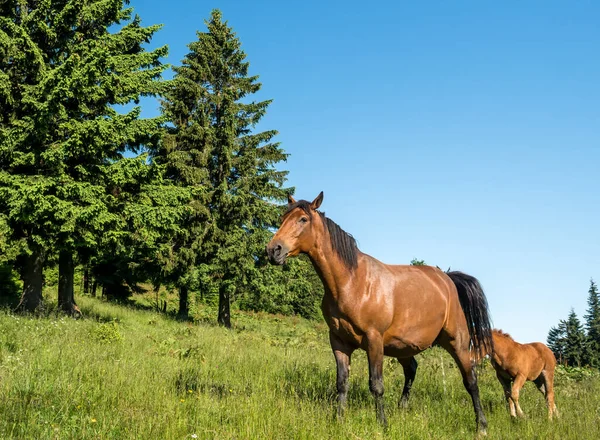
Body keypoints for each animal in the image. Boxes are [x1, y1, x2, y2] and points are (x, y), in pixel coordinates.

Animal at [268, 192, 492, 434]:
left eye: (303, 219)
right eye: (283, 217)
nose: (273, 250)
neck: (352, 282)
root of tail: (448, 280)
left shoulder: (374, 340)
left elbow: (376, 385)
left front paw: (382, 424)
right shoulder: (338, 341)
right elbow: (342, 382)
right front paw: (339, 420)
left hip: (457, 342)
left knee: (471, 380)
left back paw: (481, 425)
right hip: (403, 347)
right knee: (412, 369)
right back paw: (402, 409)